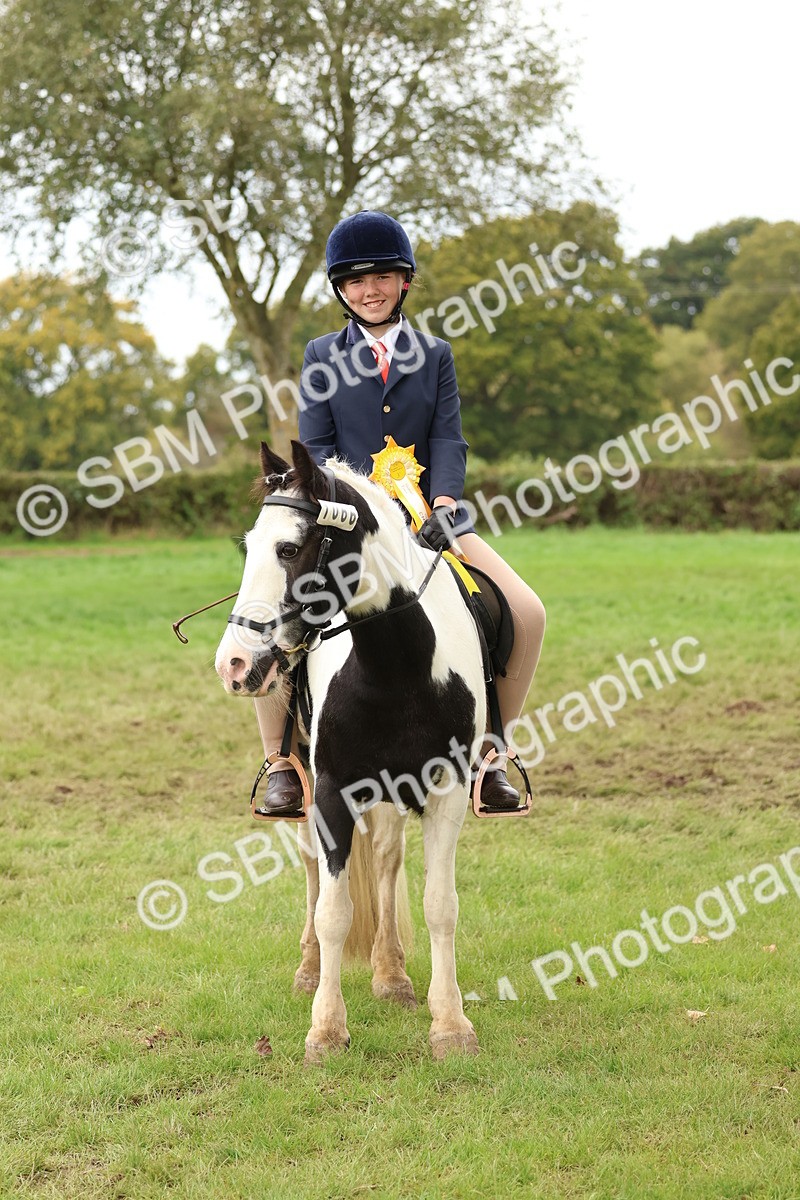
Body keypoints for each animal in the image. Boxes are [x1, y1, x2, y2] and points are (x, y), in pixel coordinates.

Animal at [214, 439, 487, 1063]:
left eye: (289, 548)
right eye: (249, 547)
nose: (233, 663)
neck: (397, 666)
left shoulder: (447, 791)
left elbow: (441, 905)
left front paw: (450, 1023)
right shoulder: (334, 792)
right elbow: (334, 912)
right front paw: (326, 1029)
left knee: (385, 861)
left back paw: (392, 975)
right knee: (314, 869)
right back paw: (311, 970)